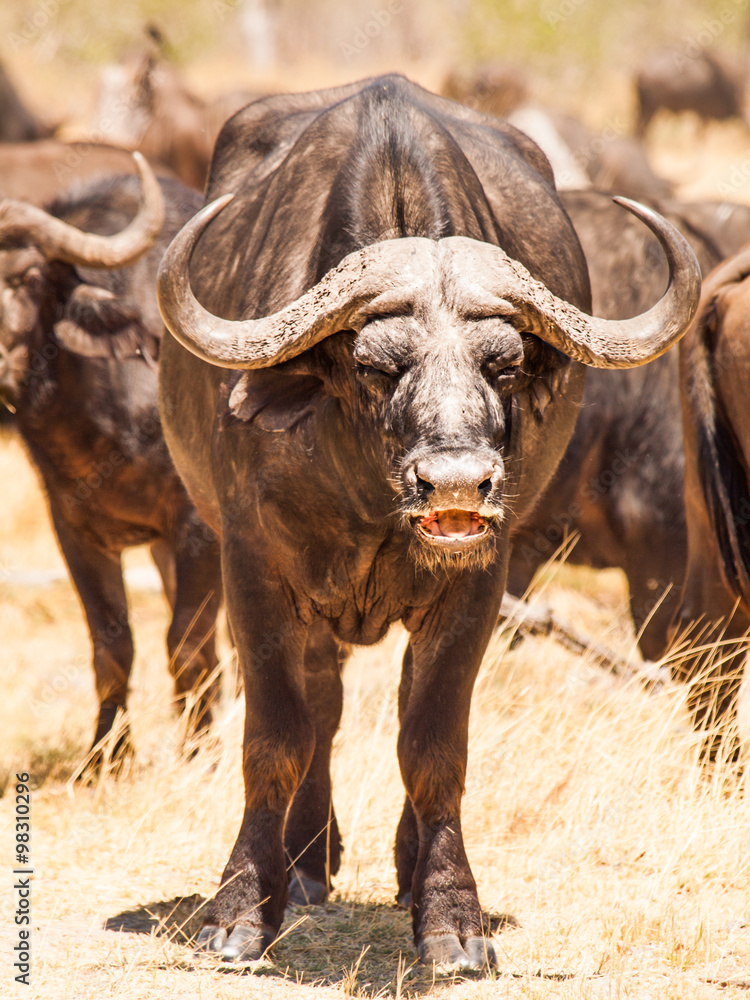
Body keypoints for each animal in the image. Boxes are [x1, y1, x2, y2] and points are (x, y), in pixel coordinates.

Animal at [0, 155, 221, 765]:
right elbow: (111, 643)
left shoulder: (197, 529)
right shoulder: (73, 530)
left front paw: (198, 751)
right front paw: (107, 756)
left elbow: (185, 640)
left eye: (25, 276)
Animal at [156, 76, 699, 968]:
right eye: (375, 365)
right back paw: (305, 866)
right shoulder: (254, 570)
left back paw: (401, 870)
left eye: (503, 364)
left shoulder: (479, 586)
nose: (456, 484)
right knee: (323, 707)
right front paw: (239, 910)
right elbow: (275, 737)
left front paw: (450, 919)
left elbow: (433, 744)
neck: (372, 503)